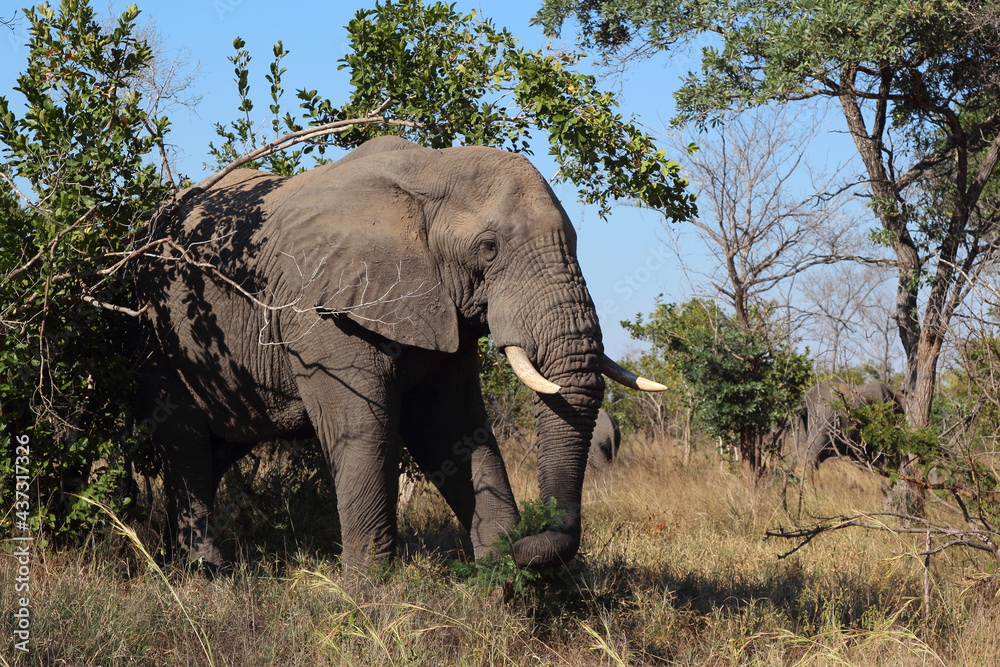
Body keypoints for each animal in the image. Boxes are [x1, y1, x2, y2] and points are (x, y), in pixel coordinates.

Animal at [135, 136, 665, 575]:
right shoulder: (322, 312)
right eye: (489, 248)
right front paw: (371, 601)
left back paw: (174, 560)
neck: (429, 171)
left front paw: (505, 585)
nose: (528, 538)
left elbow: (451, 427)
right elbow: (364, 433)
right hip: (161, 333)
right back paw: (206, 577)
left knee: (218, 447)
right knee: (184, 441)